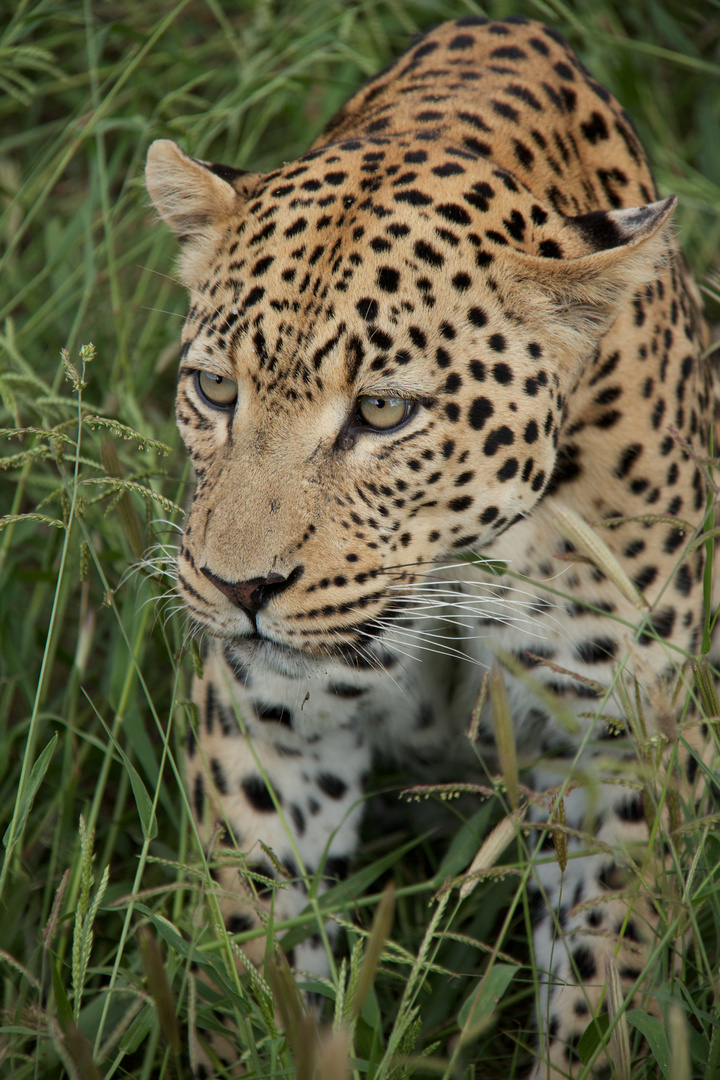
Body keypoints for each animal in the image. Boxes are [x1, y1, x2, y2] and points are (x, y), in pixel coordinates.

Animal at [144, 10, 716, 1080]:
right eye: (215, 389)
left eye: (382, 411)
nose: (240, 589)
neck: (454, 574)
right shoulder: (268, 733)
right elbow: (261, 961)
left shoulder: (622, 751)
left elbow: (605, 991)